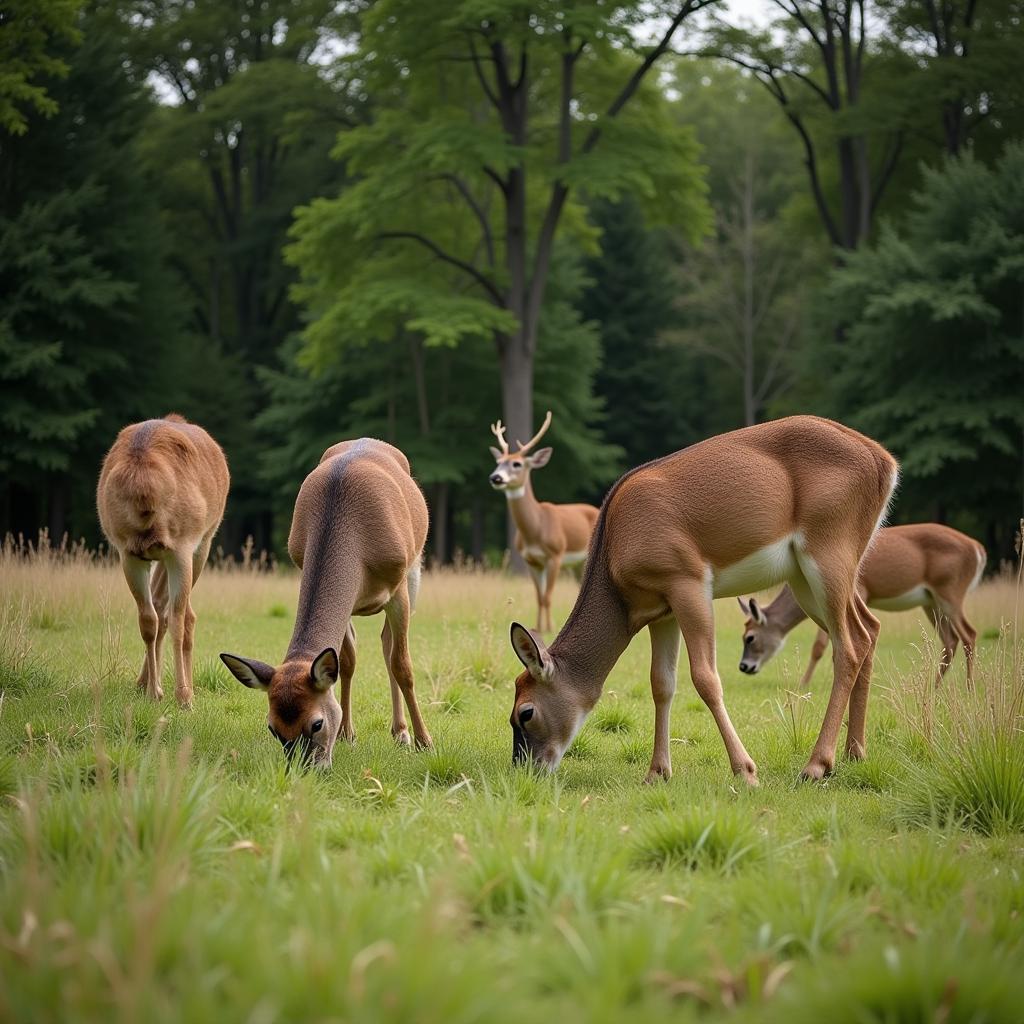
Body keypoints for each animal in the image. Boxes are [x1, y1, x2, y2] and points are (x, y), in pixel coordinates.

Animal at [97, 411, 230, 708]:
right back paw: (144, 682)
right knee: (160, 607)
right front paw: (153, 692)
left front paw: (183, 697)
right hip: (159, 555)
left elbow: (177, 620)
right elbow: (148, 620)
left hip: (203, 541)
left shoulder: (181, 547)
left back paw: (186, 689)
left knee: (185, 616)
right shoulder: (128, 553)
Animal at [220, 440, 432, 770]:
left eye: (316, 723)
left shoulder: (398, 589)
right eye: (272, 728)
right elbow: (346, 661)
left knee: (390, 648)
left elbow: (403, 665)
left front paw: (425, 741)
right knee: (374, 645)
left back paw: (402, 733)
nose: (307, 769)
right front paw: (347, 733)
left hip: (413, 570)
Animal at [487, 411, 598, 634]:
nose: (496, 477)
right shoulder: (531, 560)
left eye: (517, 463)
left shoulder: (555, 555)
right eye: (499, 461)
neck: (535, 529)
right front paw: (538, 627)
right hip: (578, 562)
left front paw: (550, 628)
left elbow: (547, 596)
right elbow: (539, 597)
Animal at [507, 415, 901, 782]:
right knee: (869, 629)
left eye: (525, 712)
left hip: (829, 548)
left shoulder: (686, 580)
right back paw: (854, 752)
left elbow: (705, 678)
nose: (526, 768)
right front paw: (657, 772)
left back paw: (817, 765)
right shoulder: (660, 610)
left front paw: (745, 771)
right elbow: (662, 683)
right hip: (809, 577)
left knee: (849, 645)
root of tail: (885, 462)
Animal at [737, 524, 983, 684]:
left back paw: (969, 688)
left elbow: (821, 645)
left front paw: (803, 683)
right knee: (950, 640)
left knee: (969, 634)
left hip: (951, 591)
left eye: (750, 637)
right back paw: (933, 688)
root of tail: (978, 549)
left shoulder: (860, 591)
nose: (744, 666)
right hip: (930, 601)